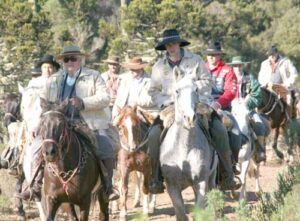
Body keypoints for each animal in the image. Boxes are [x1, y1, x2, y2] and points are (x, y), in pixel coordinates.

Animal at [161, 64, 217, 220]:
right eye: (177, 91)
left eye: (196, 90)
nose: (190, 118)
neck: (184, 148)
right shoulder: (172, 186)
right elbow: (180, 213)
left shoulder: (201, 182)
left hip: (211, 178)